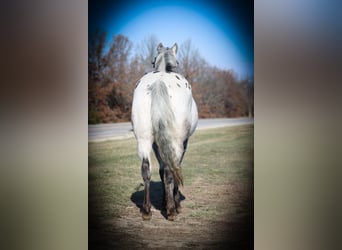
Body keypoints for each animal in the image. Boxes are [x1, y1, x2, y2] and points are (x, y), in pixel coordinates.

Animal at [132, 43, 199, 221]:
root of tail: (159, 82)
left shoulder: (157, 144)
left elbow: (160, 169)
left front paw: (163, 200)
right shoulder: (184, 142)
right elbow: (175, 168)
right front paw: (175, 203)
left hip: (144, 140)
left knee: (146, 169)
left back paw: (146, 210)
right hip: (175, 141)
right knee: (171, 170)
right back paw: (171, 210)